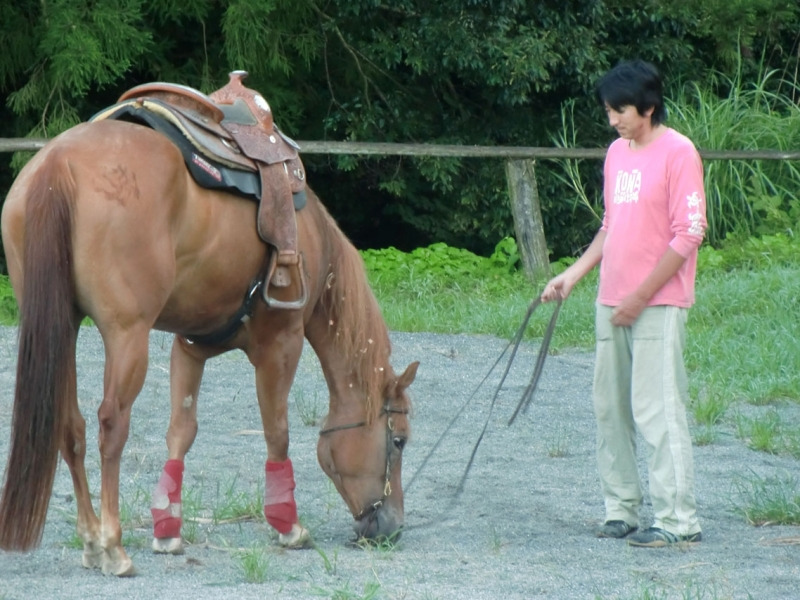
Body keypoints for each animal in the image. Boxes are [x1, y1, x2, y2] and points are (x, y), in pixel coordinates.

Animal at [0, 106, 422, 572]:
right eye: (399, 440)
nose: (392, 526)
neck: (311, 239)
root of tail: (59, 162)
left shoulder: (189, 347)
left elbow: (181, 431)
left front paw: (167, 529)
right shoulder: (281, 345)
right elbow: (277, 431)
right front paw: (287, 525)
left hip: (65, 326)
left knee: (70, 427)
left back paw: (92, 540)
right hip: (126, 335)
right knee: (111, 425)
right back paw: (113, 545)